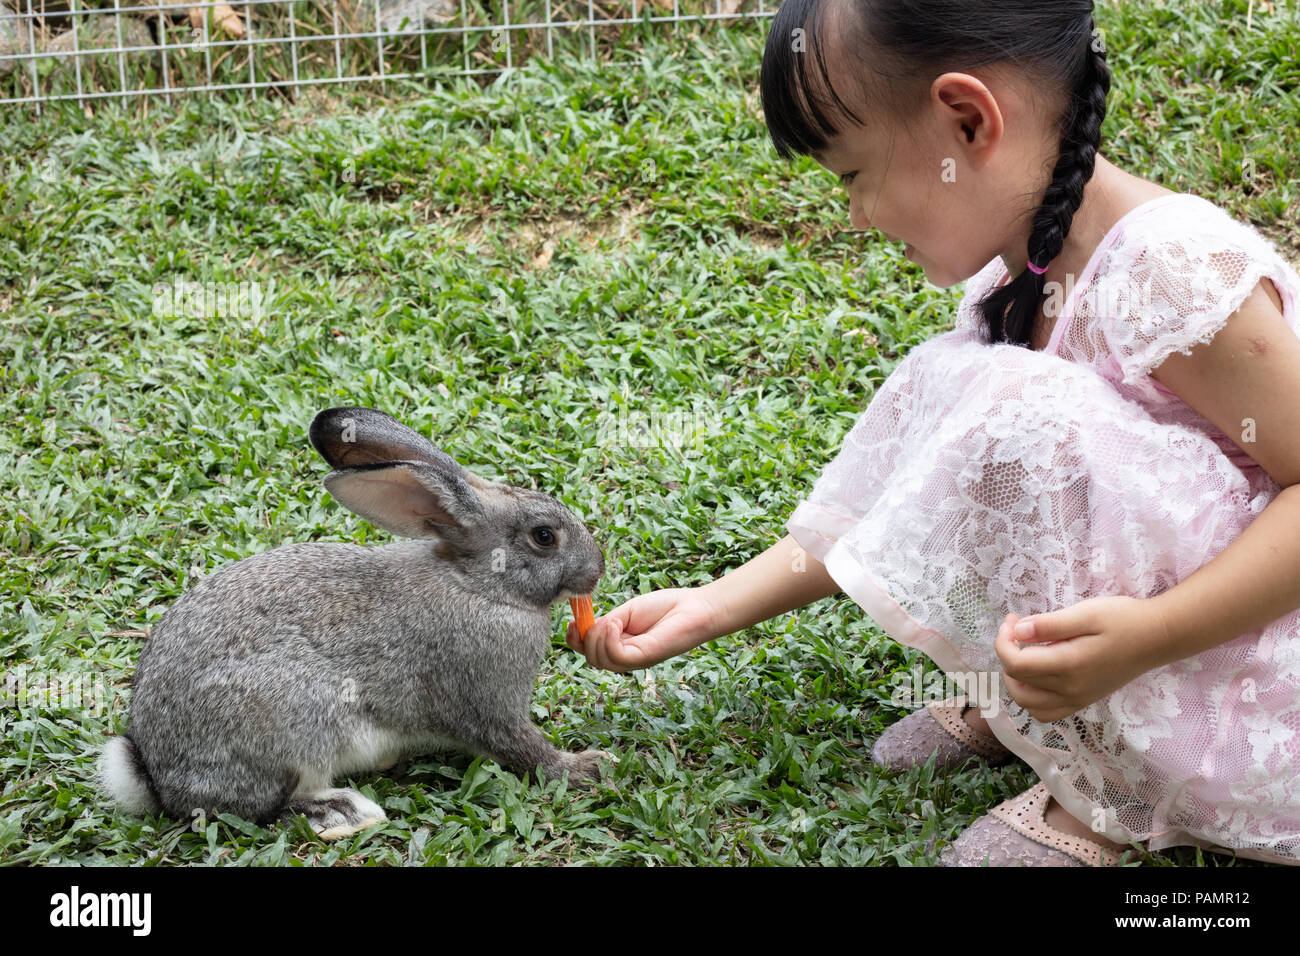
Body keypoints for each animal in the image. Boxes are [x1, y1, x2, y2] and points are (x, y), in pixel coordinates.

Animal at [98, 405, 609, 840]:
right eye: (544, 537)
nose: (597, 569)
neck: (479, 584)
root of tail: (155, 776)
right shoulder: (487, 703)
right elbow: (523, 748)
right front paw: (587, 767)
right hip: (290, 721)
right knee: (251, 808)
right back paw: (342, 812)